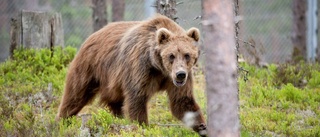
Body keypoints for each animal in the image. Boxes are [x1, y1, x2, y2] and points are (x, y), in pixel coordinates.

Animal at [57, 14, 208, 136]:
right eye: (171, 55)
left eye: (187, 55)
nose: (180, 74)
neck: (159, 68)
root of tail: (92, 35)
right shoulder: (141, 69)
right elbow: (137, 99)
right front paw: (143, 126)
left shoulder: (175, 80)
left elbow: (183, 101)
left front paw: (202, 127)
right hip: (90, 67)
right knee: (75, 94)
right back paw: (62, 121)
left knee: (115, 101)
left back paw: (118, 118)